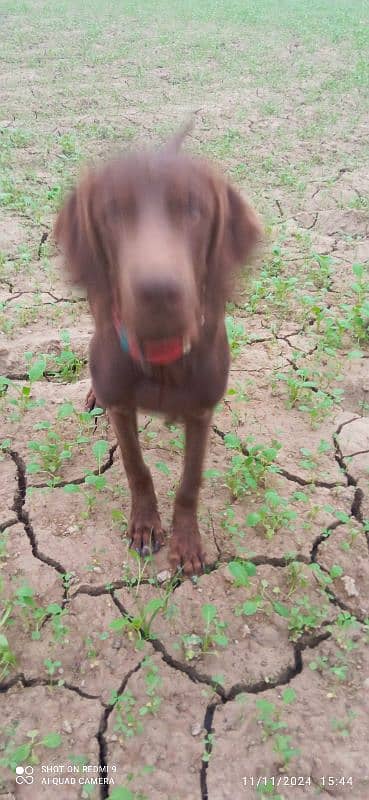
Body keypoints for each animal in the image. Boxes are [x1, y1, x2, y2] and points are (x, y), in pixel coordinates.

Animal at [55, 126, 262, 576]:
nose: (159, 291)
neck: (161, 354)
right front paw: (146, 526)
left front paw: (187, 543)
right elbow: (136, 467)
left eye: (193, 208)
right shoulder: (122, 406)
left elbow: (189, 483)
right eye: (114, 211)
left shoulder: (201, 412)